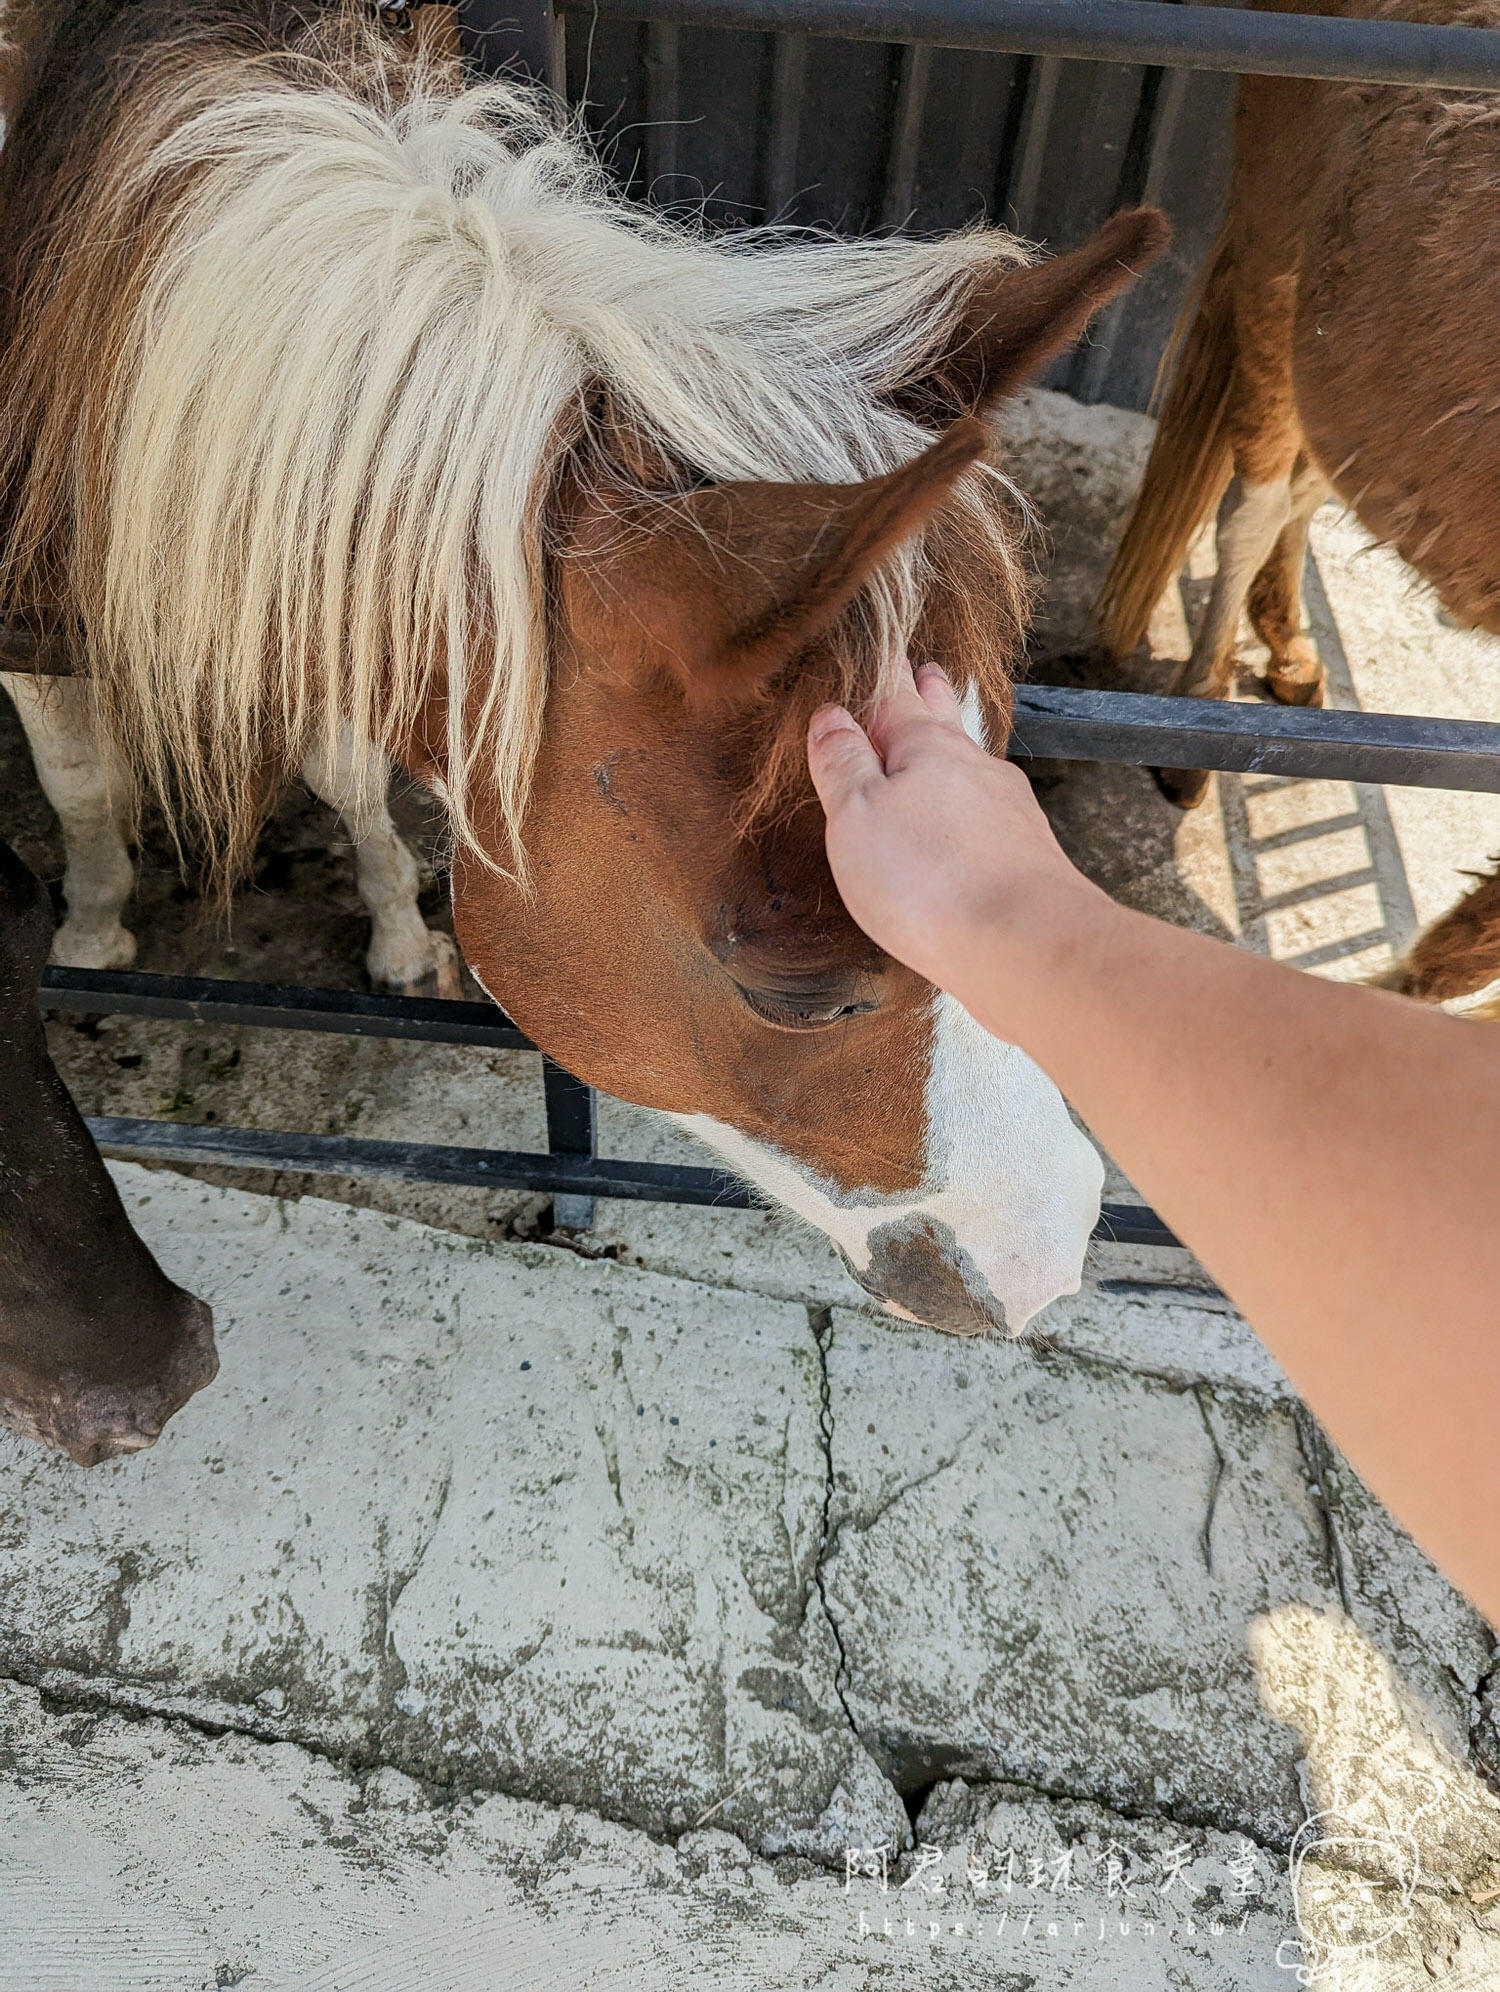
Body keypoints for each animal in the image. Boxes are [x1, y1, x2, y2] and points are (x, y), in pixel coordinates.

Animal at [0, 0, 1163, 1354]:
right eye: (800, 993)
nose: (1050, 1250)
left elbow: (342, 760)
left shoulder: (311, 547)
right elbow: (80, 779)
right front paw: (92, 925)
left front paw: (400, 932)